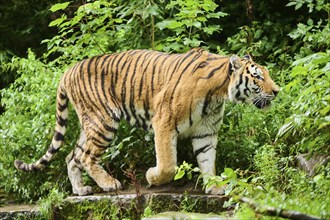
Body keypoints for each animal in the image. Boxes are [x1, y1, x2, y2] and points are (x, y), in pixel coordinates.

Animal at [14, 48, 280, 196]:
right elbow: (168, 164)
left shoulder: (206, 132)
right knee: (87, 156)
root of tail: (67, 71)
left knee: (73, 156)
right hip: (103, 121)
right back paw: (109, 184)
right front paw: (152, 177)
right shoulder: (163, 122)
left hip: (90, 124)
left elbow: (207, 161)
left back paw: (80, 190)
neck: (218, 93)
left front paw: (214, 187)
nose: (277, 91)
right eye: (258, 77)